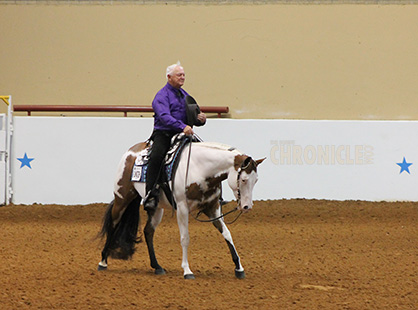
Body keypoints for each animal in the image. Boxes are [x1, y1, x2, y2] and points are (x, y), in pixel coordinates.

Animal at [99, 137, 264, 280]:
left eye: (256, 180)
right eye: (244, 179)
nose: (247, 207)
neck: (200, 168)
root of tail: (130, 152)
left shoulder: (213, 208)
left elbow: (227, 234)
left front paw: (239, 268)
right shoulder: (182, 208)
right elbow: (185, 238)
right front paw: (187, 270)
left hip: (156, 208)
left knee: (148, 231)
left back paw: (157, 266)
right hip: (122, 198)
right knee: (113, 224)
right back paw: (103, 261)